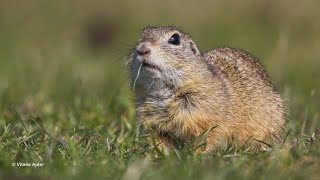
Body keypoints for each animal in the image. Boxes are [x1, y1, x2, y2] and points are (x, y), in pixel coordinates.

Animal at [126, 26, 286, 153]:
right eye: (141, 36)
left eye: (175, 39)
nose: (142, 49)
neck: (164, 91)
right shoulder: (152, 123)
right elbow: (158, 140)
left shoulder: (205, 119)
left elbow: (205, 139)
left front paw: (195, 157)